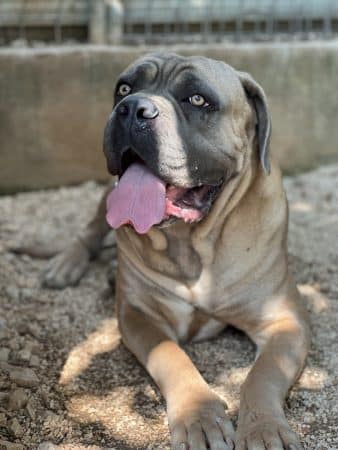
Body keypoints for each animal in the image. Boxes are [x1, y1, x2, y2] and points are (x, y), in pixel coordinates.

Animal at [31, 53, 308, 450]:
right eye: (124, 88)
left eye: (197, 99)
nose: (132, 108)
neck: (193, 244)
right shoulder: (139, 315)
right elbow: (171, 356)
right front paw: (199, 417)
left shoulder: (285, 319)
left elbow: (263, 374)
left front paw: (264, 427)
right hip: (107, 195)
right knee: (91, 231)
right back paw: (67, 264)